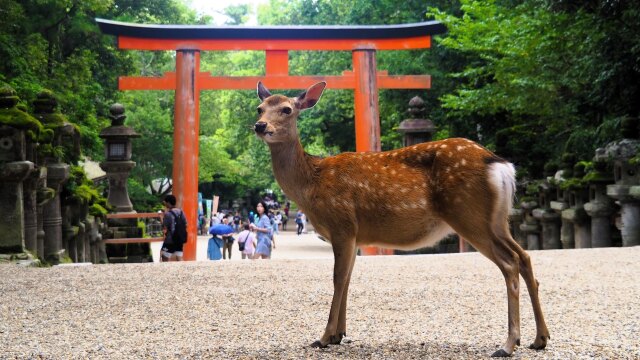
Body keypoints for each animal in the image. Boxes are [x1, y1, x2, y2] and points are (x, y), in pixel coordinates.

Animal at [255, 81, 552, 358]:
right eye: (260, 108)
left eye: (287, 109)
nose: (259, 125)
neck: (311, 184)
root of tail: (500, 165)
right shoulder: (354, 236)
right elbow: (348, 278)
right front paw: (340, 333)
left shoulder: (342, 225)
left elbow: (338, 278)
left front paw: (325, 337)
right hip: (498, 220)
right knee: (524, 257)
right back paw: (539, 339)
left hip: (469, 215)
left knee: (510, 263)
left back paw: (508, 344)